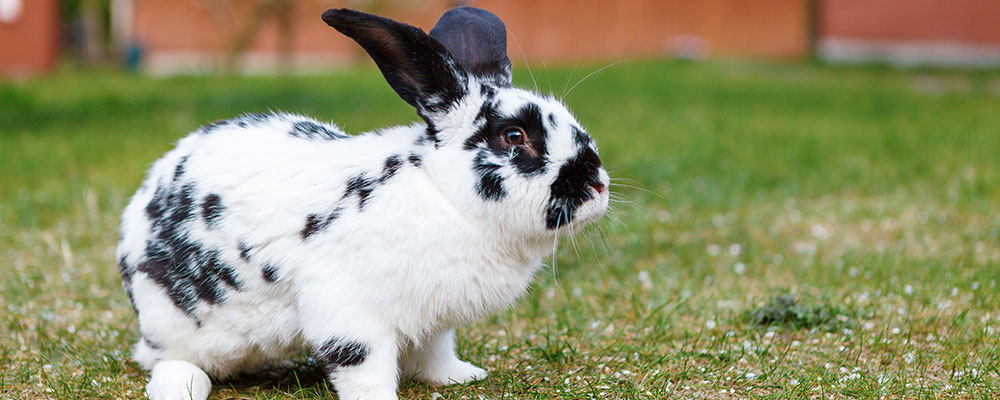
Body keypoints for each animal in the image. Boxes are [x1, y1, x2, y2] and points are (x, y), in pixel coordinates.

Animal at [116, 7, 609, 400]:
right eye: (514, 136)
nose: (598, 185)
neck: (442, 194)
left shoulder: (433, 321)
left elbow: (434, 354)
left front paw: (461, 377)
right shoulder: (347, 312)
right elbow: (363, 366)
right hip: (177, 324)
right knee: (169, 360)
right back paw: (182, 386)